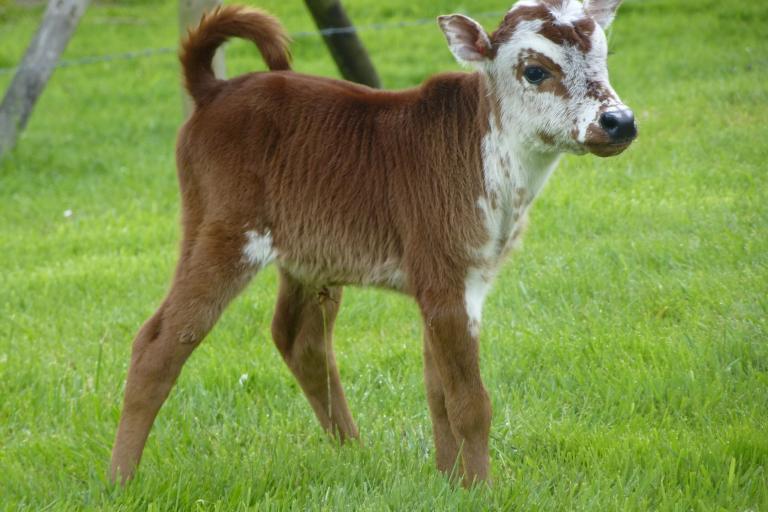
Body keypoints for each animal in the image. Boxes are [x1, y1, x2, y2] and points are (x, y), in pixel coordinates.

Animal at [108, 0, 636, 488]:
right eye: (535, 70)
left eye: (603, 56)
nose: (619, 121)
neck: (484, 151)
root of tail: (215, 90)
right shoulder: (448, 278)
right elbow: (470, 401)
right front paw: (481, 488)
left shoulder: (441, 283)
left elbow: (438, 393)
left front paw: (449, 482)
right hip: (225, 231)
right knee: (161, 341)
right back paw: (120, 479)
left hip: (304, 255)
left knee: (299, 339)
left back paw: (354, 452)